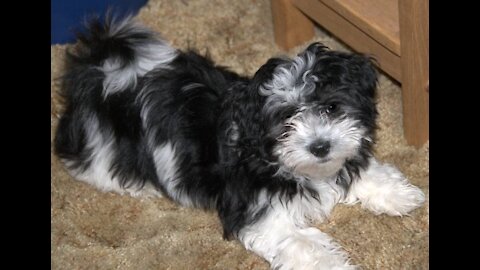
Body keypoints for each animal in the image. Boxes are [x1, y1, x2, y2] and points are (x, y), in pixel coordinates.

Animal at [54, 17, 426, 270]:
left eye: (331, 107)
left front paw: (401, 195)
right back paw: (134, 185)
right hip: (101, 145)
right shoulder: (258, 214)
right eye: (285, 121)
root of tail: (103, 69)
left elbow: (364, 169)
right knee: (90, 166)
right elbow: (299, 241)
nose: (320, 146)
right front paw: (334, 263)